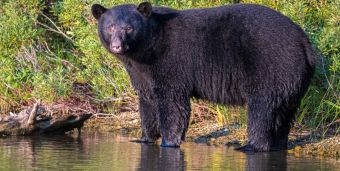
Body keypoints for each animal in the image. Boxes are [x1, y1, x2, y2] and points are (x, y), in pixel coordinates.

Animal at [91, 1, 316, 151]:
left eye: (129, 27)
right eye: (110, 26)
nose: (117, 46)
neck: (145, 49)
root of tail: (303, 41)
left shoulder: (170, 62)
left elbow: (172, 102)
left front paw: (168, 142)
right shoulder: (141, 72)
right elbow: (147, 101)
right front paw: (145, 138)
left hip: (270, 67)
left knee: (262, 109)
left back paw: (251, 146)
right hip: (292, 79)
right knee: (284, 112)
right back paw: (278, 145)